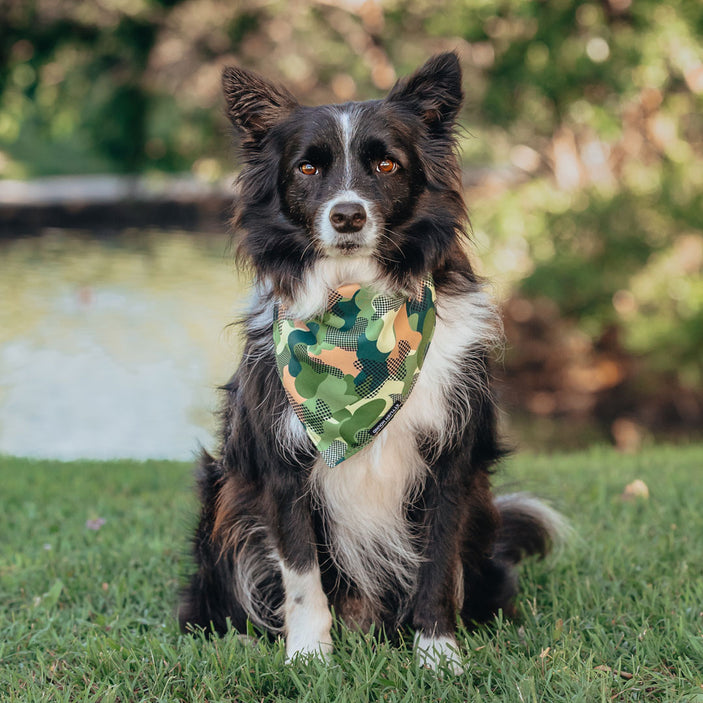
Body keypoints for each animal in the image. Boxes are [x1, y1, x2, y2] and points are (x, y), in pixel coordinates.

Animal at [182, 53, 568, 672]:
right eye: (307, 169)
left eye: (387, 164)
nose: (347, 216)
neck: (354, 303)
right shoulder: (281, 462)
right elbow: (300, 574)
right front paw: (308, 657)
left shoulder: (450, 458)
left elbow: (437, 562)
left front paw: (438, 655)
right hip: (222, 492)